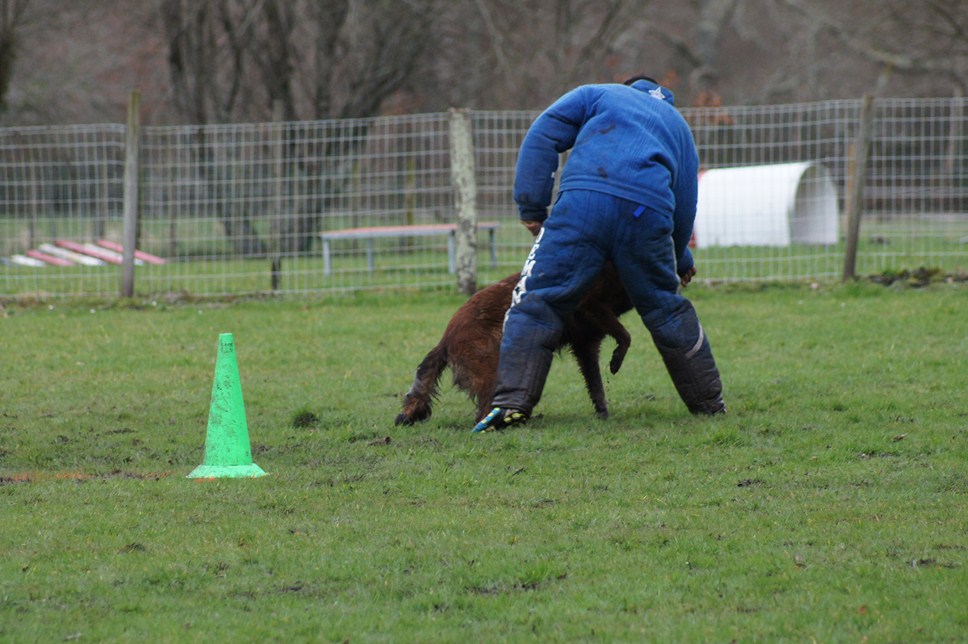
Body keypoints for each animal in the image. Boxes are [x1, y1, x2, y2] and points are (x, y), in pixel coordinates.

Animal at [396, 264, 636, 426]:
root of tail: (445, 340)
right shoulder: (592, 304)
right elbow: (625, 336)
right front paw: (616, 361)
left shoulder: (586, 345)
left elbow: (596, 386)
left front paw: (603, 413)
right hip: (492, 371)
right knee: (482, 413)